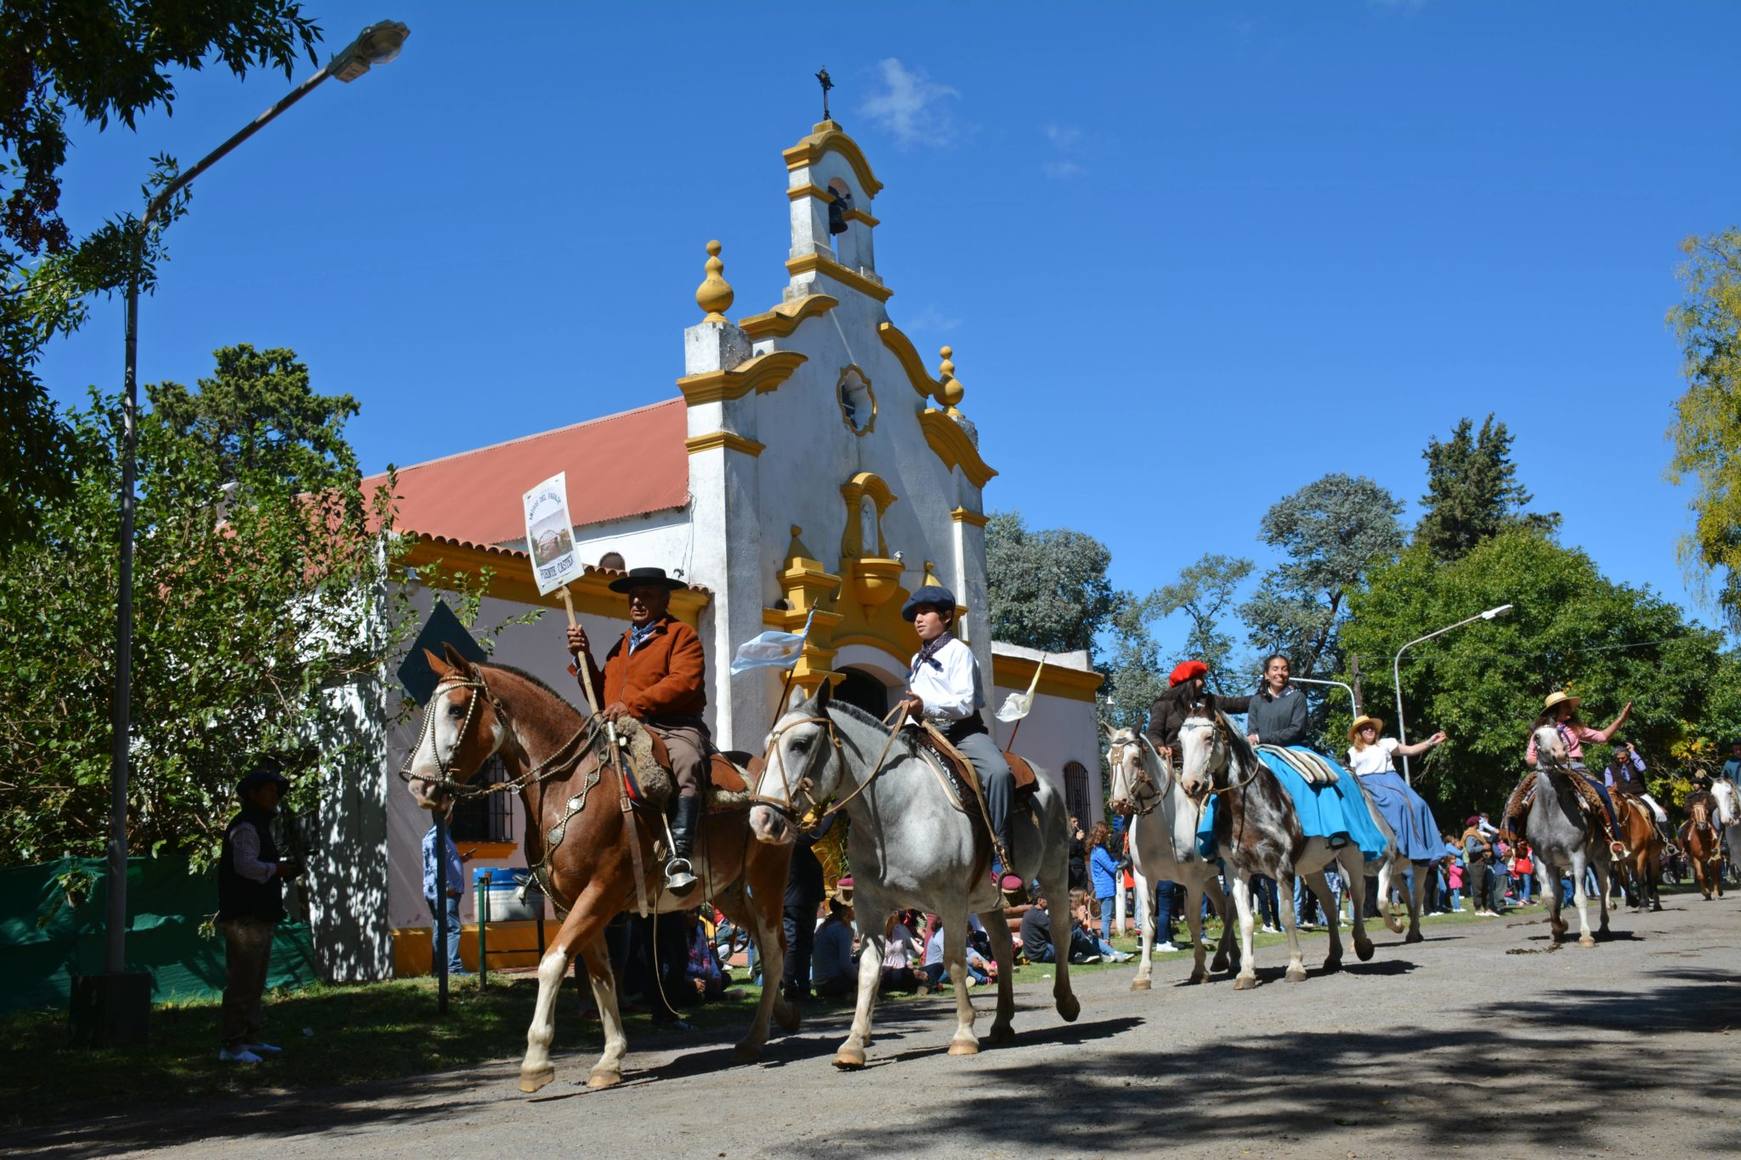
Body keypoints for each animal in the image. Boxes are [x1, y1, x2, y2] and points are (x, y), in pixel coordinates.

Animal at [403, 644, 793, 1086]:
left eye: (455, 709)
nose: (419, 785)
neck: (569, 786)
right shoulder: (573, 904)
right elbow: (601, 974)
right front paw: (610, 1058)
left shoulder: (600, 892)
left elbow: (552, 963)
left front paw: (536, 1061)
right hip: (729, 891)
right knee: (767, 943)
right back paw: (784, 1014)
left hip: (767, 878)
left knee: (773, 950)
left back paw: (756, 1036)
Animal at [745, 682, 1079, 1072]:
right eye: (766, 745)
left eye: (799, 744)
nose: (762, 820)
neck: (896, 811)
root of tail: (1044, 779)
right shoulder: (869, 906)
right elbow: (869, 969)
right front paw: (853, 1043)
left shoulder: (951, 901)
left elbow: (954, 961)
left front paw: (963, 1035)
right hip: (989, 900)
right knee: (1001, 946)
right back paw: (1001, 1022)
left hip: (1054, 873)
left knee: (1060, 929)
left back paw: (1066, 1002)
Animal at [1100, 724, 1239, 982]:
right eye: (1107, 758)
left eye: (1135, 759)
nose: (1119, 803)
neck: (1163, 825)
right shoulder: (1145, 878)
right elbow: (1148, 925)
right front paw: (1143, 975)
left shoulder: (1192, 881)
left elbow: (1194, 921)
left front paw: (1199, 969)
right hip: (1211, 878)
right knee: (1225, 910)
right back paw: (1231, 958)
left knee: (1230, 909)